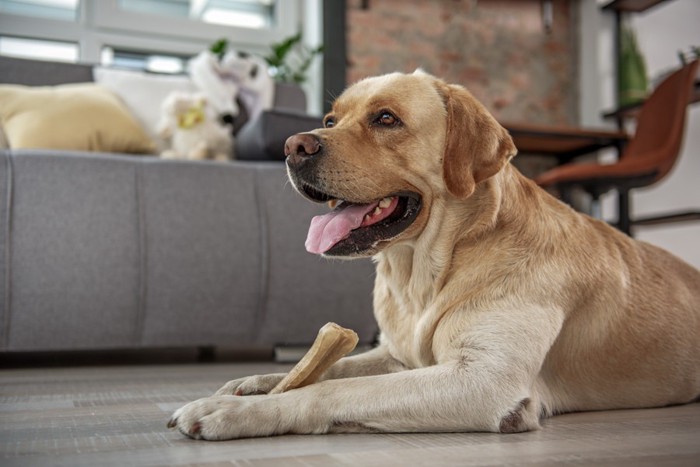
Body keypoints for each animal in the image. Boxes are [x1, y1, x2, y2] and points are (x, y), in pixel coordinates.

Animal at [170, 69, 700, 438]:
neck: (423, 275)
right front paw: (255, 382)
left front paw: (237, 411)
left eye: (386, 118)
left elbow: (337, 387)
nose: (292, 145)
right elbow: (334, 367)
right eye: (329, 120)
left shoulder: (483, 381)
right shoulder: (397, 355)